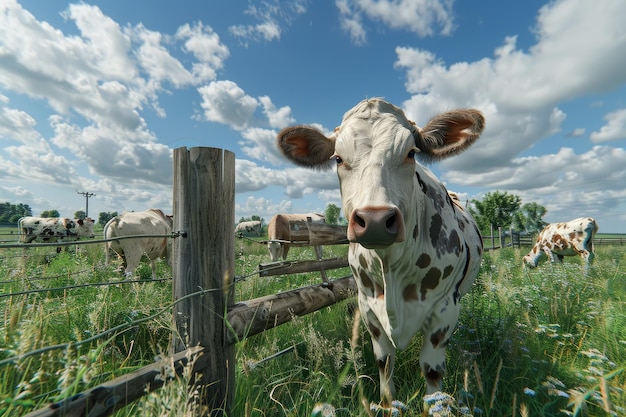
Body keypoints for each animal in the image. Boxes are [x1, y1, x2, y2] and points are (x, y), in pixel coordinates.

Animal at [276, 97, 486, 412]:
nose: (375, 220)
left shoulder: (445, 309)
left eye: (411, 153)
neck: (391, 269)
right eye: (338, 159)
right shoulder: (368, 309)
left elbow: (432, 375)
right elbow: (385, 366)